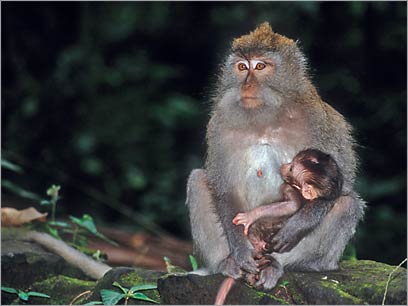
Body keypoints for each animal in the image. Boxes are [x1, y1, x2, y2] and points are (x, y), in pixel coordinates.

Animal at [215, 148, 342, 304]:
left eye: (292, 168)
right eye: (291, 163)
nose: (284, 165)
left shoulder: (289, 188)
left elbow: (291, 205)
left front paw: (250, 216)